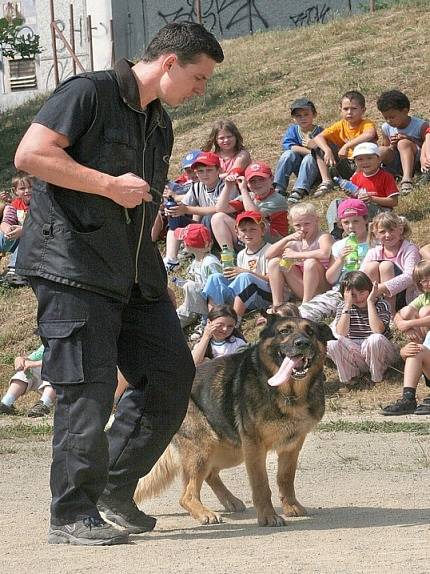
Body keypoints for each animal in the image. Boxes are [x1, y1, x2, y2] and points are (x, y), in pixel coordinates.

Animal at [134, 318, 332, 528]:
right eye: (284, 331)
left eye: (310, 332)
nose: (302, 343)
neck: (288, 393)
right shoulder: (255, 447)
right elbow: (261, 485)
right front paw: (268, 516)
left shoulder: (292, 446)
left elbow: (285, 478)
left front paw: (291, 506)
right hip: (207, 447)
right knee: (187, 495)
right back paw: (204, 512)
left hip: (232, 451)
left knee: (210, 474)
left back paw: (230, 500)